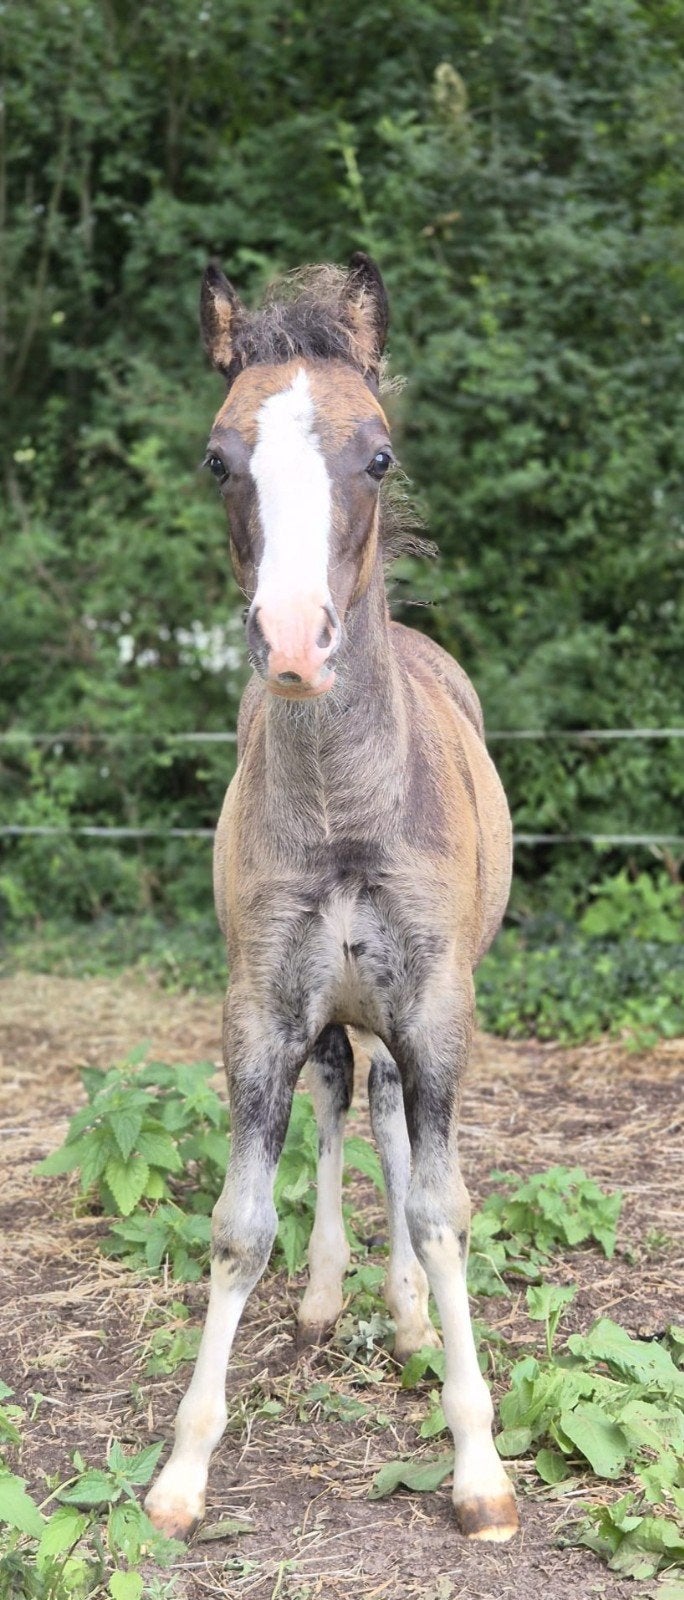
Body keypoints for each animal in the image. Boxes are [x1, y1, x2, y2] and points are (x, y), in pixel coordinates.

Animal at [145, 253, 518, 1546]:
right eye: (221, 458)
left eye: (380, 455)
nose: (295, 645)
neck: (348, 812)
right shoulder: (261, 1007)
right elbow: (236, 1224)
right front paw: (181, 1474)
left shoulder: (440, 1007)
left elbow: (444, 1209)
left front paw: (479, 1466)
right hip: (328, 1014)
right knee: (342, 1101)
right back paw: (325, 1297)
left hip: (404, 1014)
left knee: (396, 1121)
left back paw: (403, 1315)